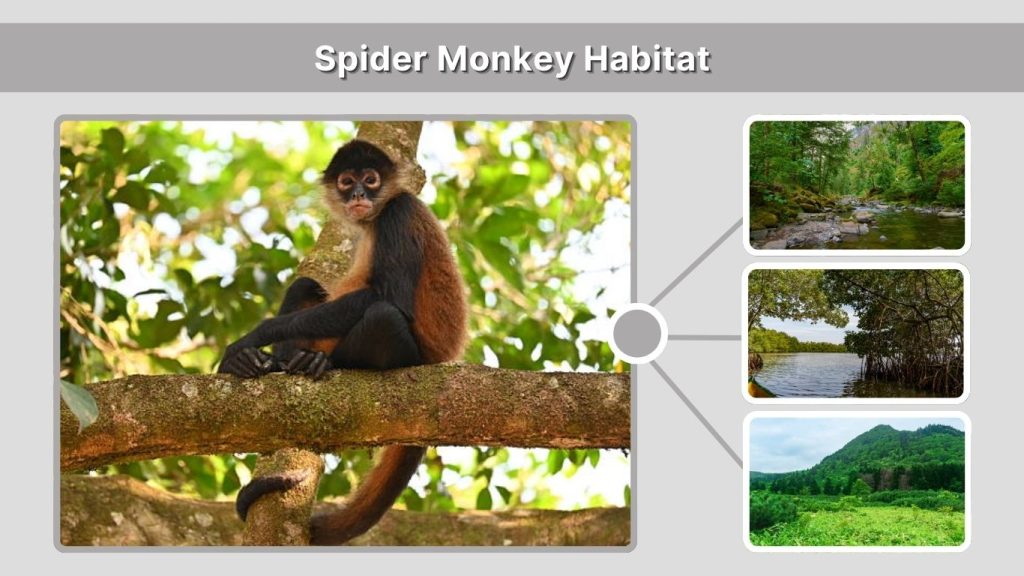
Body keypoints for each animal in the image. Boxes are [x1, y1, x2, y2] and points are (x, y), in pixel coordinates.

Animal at [216, 139, 468, 545]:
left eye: (371, 179)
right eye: (347, 182)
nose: (360, 195)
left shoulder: (399, 211)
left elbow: (389, 297)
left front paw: (258, 335)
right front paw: (252, 356)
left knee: (383, 315)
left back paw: (322, 363)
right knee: (305, 286)